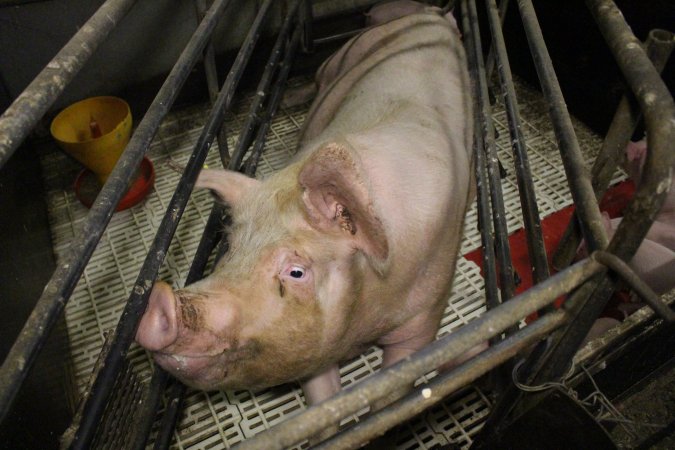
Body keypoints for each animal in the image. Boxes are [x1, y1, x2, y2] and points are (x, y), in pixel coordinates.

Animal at [136, 0, 476, 414]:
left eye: (296, 272)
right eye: (230, 248)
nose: (158, 302)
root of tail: (430, 15)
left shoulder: (425, 315)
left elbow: (391, 392)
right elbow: (321, 403)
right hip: (339, 58)